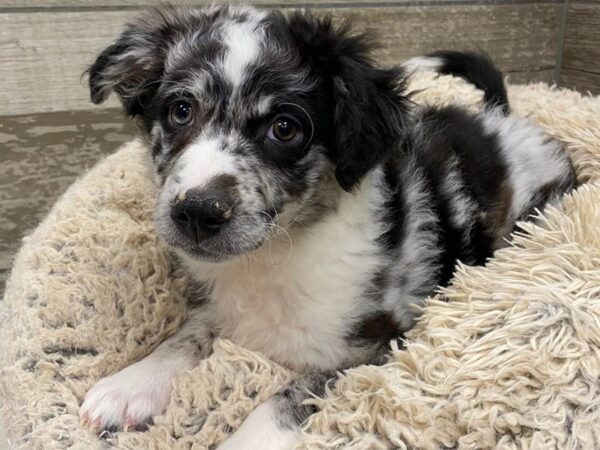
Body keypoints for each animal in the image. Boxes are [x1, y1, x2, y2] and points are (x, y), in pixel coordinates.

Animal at [77, 4, 576, 450]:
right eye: (181, 110)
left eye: (285, 128)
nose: (199, 211)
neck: (274, 255)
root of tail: (500, 117)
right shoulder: (221, 306)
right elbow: (187, 336)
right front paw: (131, 384)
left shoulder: (380, 345)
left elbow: (287, 399)